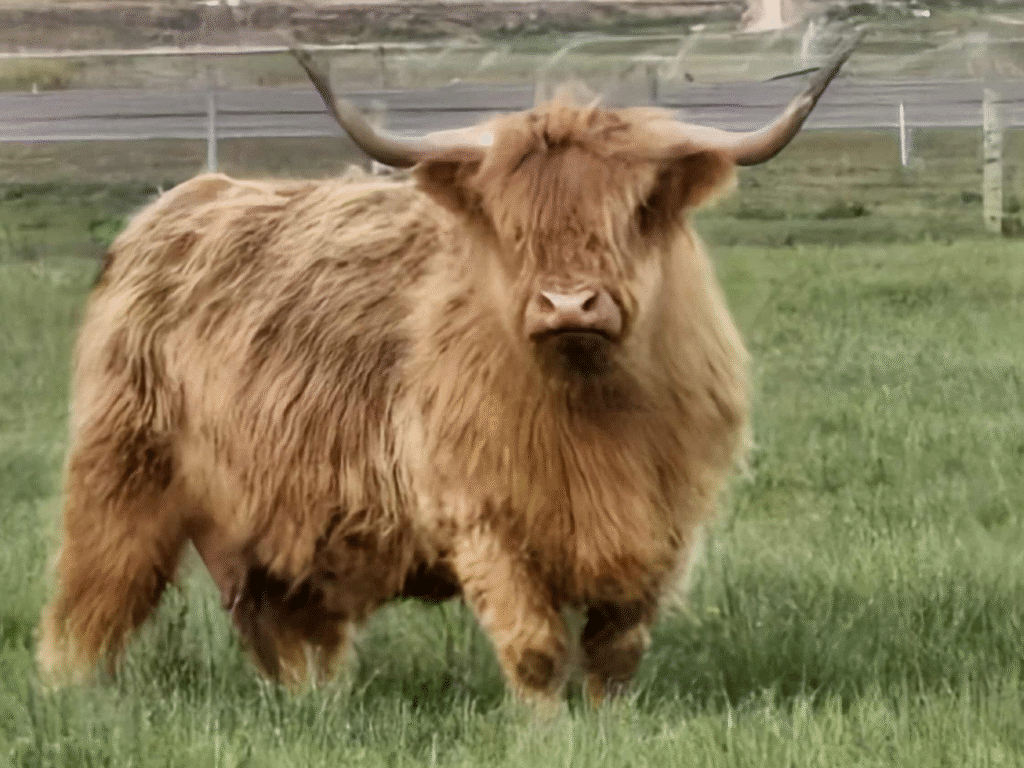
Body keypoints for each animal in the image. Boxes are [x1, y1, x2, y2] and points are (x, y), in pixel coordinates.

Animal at [37, 37, 858, 706]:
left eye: (634, 212)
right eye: (512, 225)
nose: (568, 302)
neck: (592, 412)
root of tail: (177, 204)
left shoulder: (662, 524)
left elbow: (615, 650)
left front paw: (605, 721)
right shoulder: (481, 514)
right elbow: (533, 646)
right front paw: (546, 731)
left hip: (270, 514)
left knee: (278, 625)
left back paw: (313, 706)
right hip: (122, 472)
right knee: (94, 594)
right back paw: (73, 696)